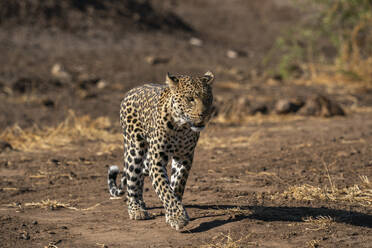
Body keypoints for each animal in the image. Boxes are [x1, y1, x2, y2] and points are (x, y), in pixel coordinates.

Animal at [107, 70, 215, 230]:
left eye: (208, 99)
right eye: (190, 99)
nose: (204, 115)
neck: (181, 128)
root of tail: (132, 90)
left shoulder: (184, 157)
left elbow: (177, 184)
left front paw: (172, 213)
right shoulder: (156, 160)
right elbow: (165, 189)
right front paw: (178, 217)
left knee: (139, 177)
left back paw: (141, 203)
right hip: (135, 148)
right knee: (132, 178)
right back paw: (136, 209)